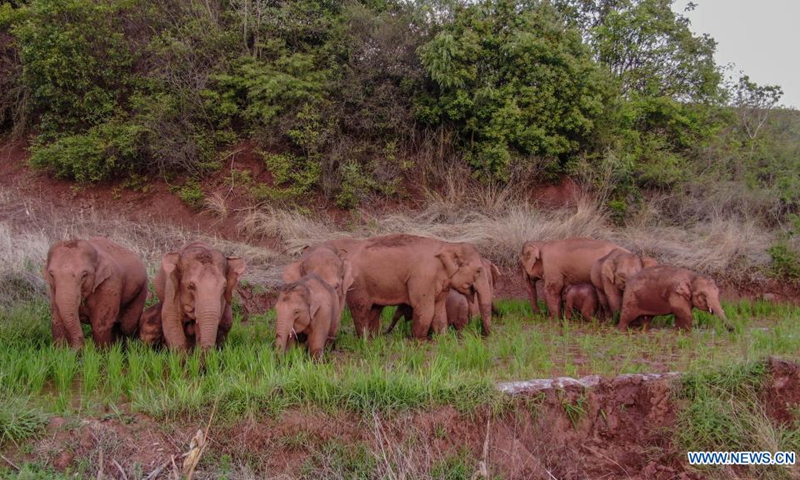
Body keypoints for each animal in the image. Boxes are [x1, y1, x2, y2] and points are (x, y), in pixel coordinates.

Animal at [343, 234, 492, 339]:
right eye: (479, 270)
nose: (484, 335)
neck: (448, 245)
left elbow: (439, 309)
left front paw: (443, 339)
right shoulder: (423, 278)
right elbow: (425, 309)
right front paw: (419, 342)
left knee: (375, 309)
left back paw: (375, 339)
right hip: (357, 284)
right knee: (361, 309)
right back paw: (365, 340)